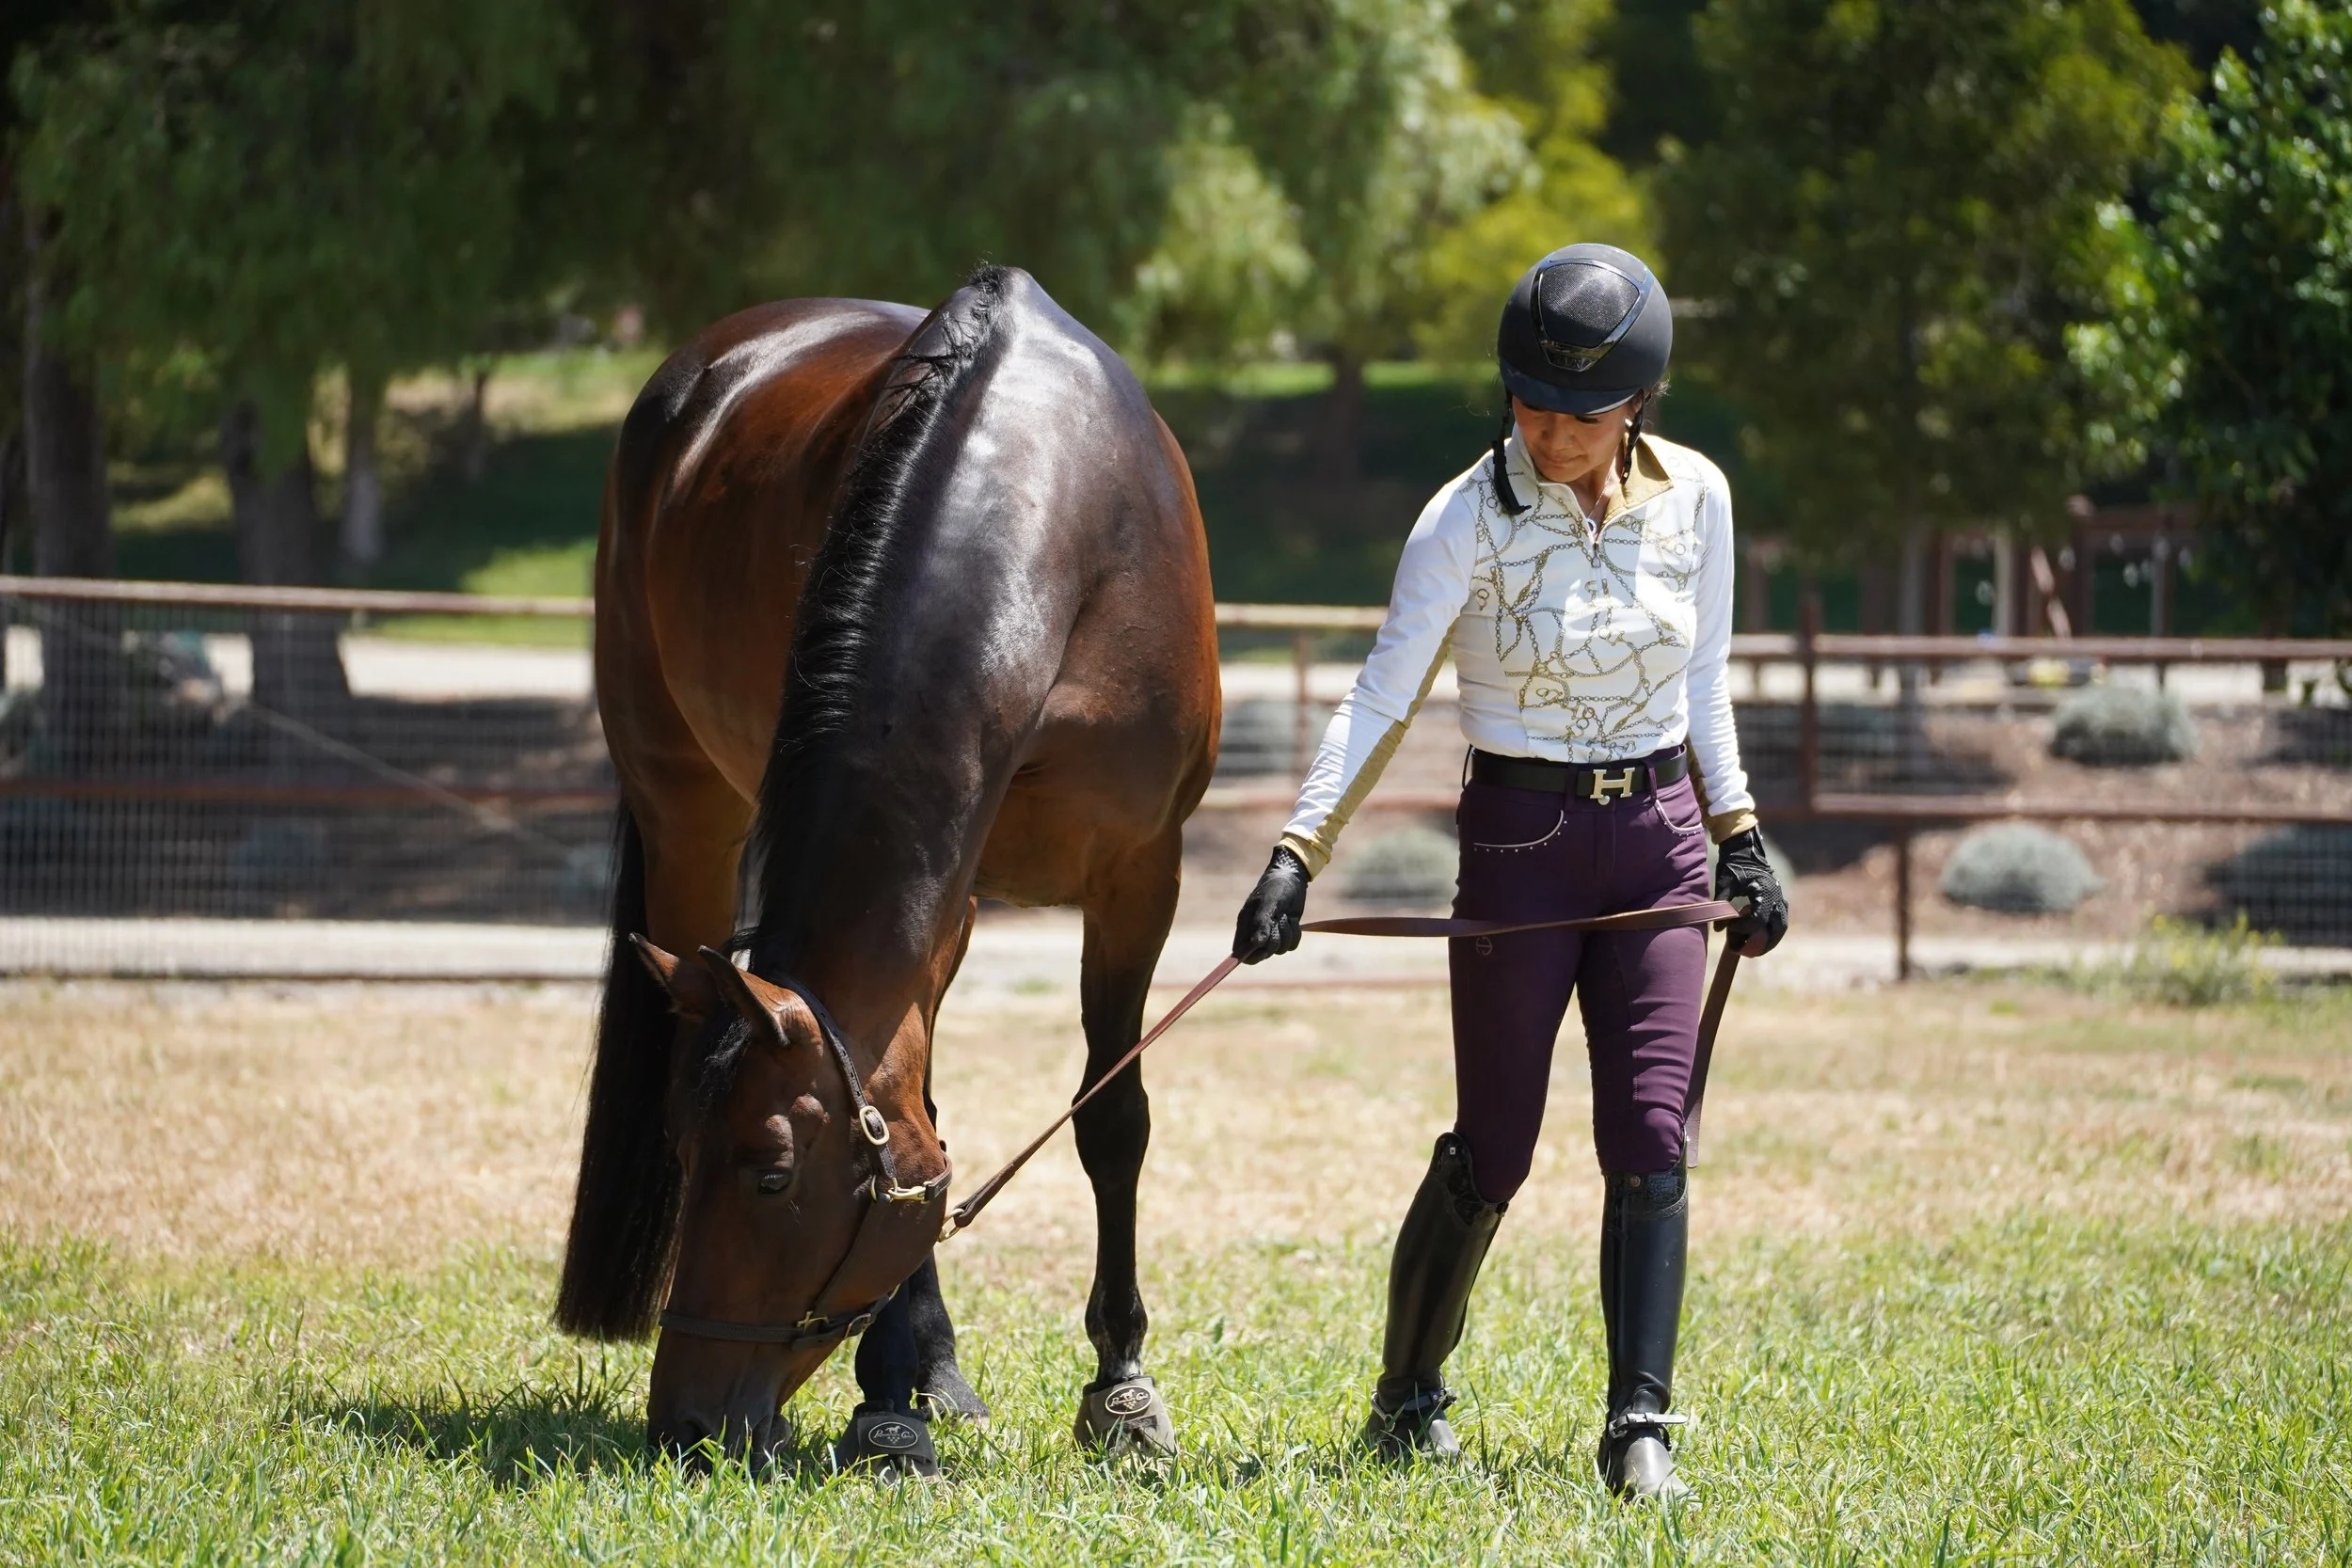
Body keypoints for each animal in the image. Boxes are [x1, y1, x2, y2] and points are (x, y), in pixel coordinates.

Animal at [553, 265, 1221, 1470]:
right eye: (683, 1153)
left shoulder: (1142, 870)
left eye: (771, 1170)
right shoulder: (940, 892)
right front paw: (892, 1388)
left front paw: (1121, 1386)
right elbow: (920, 1101)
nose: (687, 1422)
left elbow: (1112, 1117)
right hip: (685, 813)